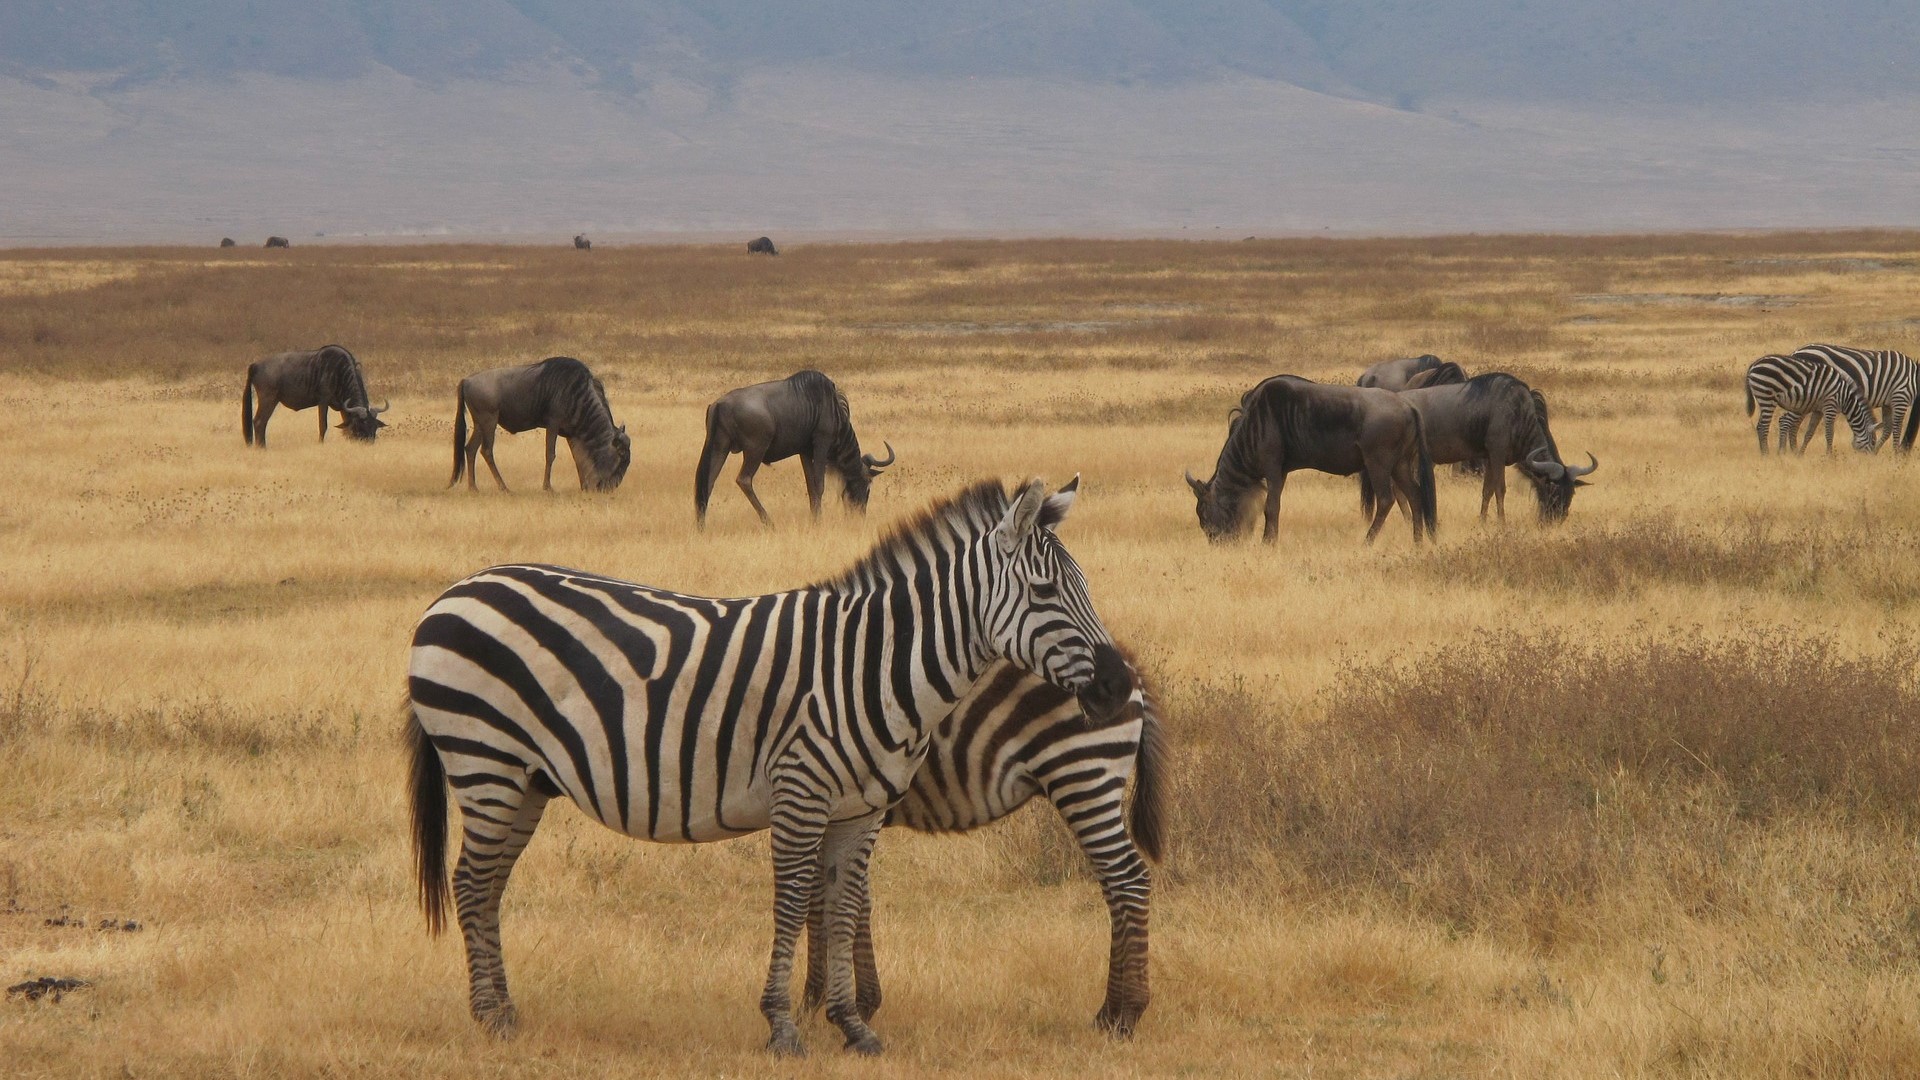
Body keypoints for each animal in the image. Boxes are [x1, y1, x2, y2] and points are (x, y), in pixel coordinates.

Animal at [401, 472, 1121, 1053]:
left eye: (1087, 586)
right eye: (1045, 591)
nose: (1116, 688)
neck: (874, 666)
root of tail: (455, 591)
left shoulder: (860, 811)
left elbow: (841, 905)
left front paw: (852, 1027)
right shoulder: (800, 790)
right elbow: (794, 900)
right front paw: (781, 1026)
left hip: (523, 780)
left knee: (489, 883)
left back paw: (506, 1011)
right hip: (484, 759)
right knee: (470, 882)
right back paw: (489, 1016)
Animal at [798, 645, 1159, 1037]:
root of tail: (1129, 668)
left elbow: (822, 900)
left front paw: (814, 1001)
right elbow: (851, 899)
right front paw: (860, 1000)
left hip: (1082, 773)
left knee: (1129, 880)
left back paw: (1128, 1014)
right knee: (1114, 886)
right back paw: (1108, 1013)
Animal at [1743, 351, 1873, 451]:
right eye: (1873, 444)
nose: (1870, 460)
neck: (1845, 396)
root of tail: (1754, 364)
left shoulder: (1818, 410)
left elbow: (1810, 432)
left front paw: (1800, 454)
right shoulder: (1830, 405)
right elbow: (1830, 433)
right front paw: (1830, 456)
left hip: (1764, 398)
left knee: (1761, 426)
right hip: (1767, 397)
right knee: (1763, 427)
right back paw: (1766, 454)